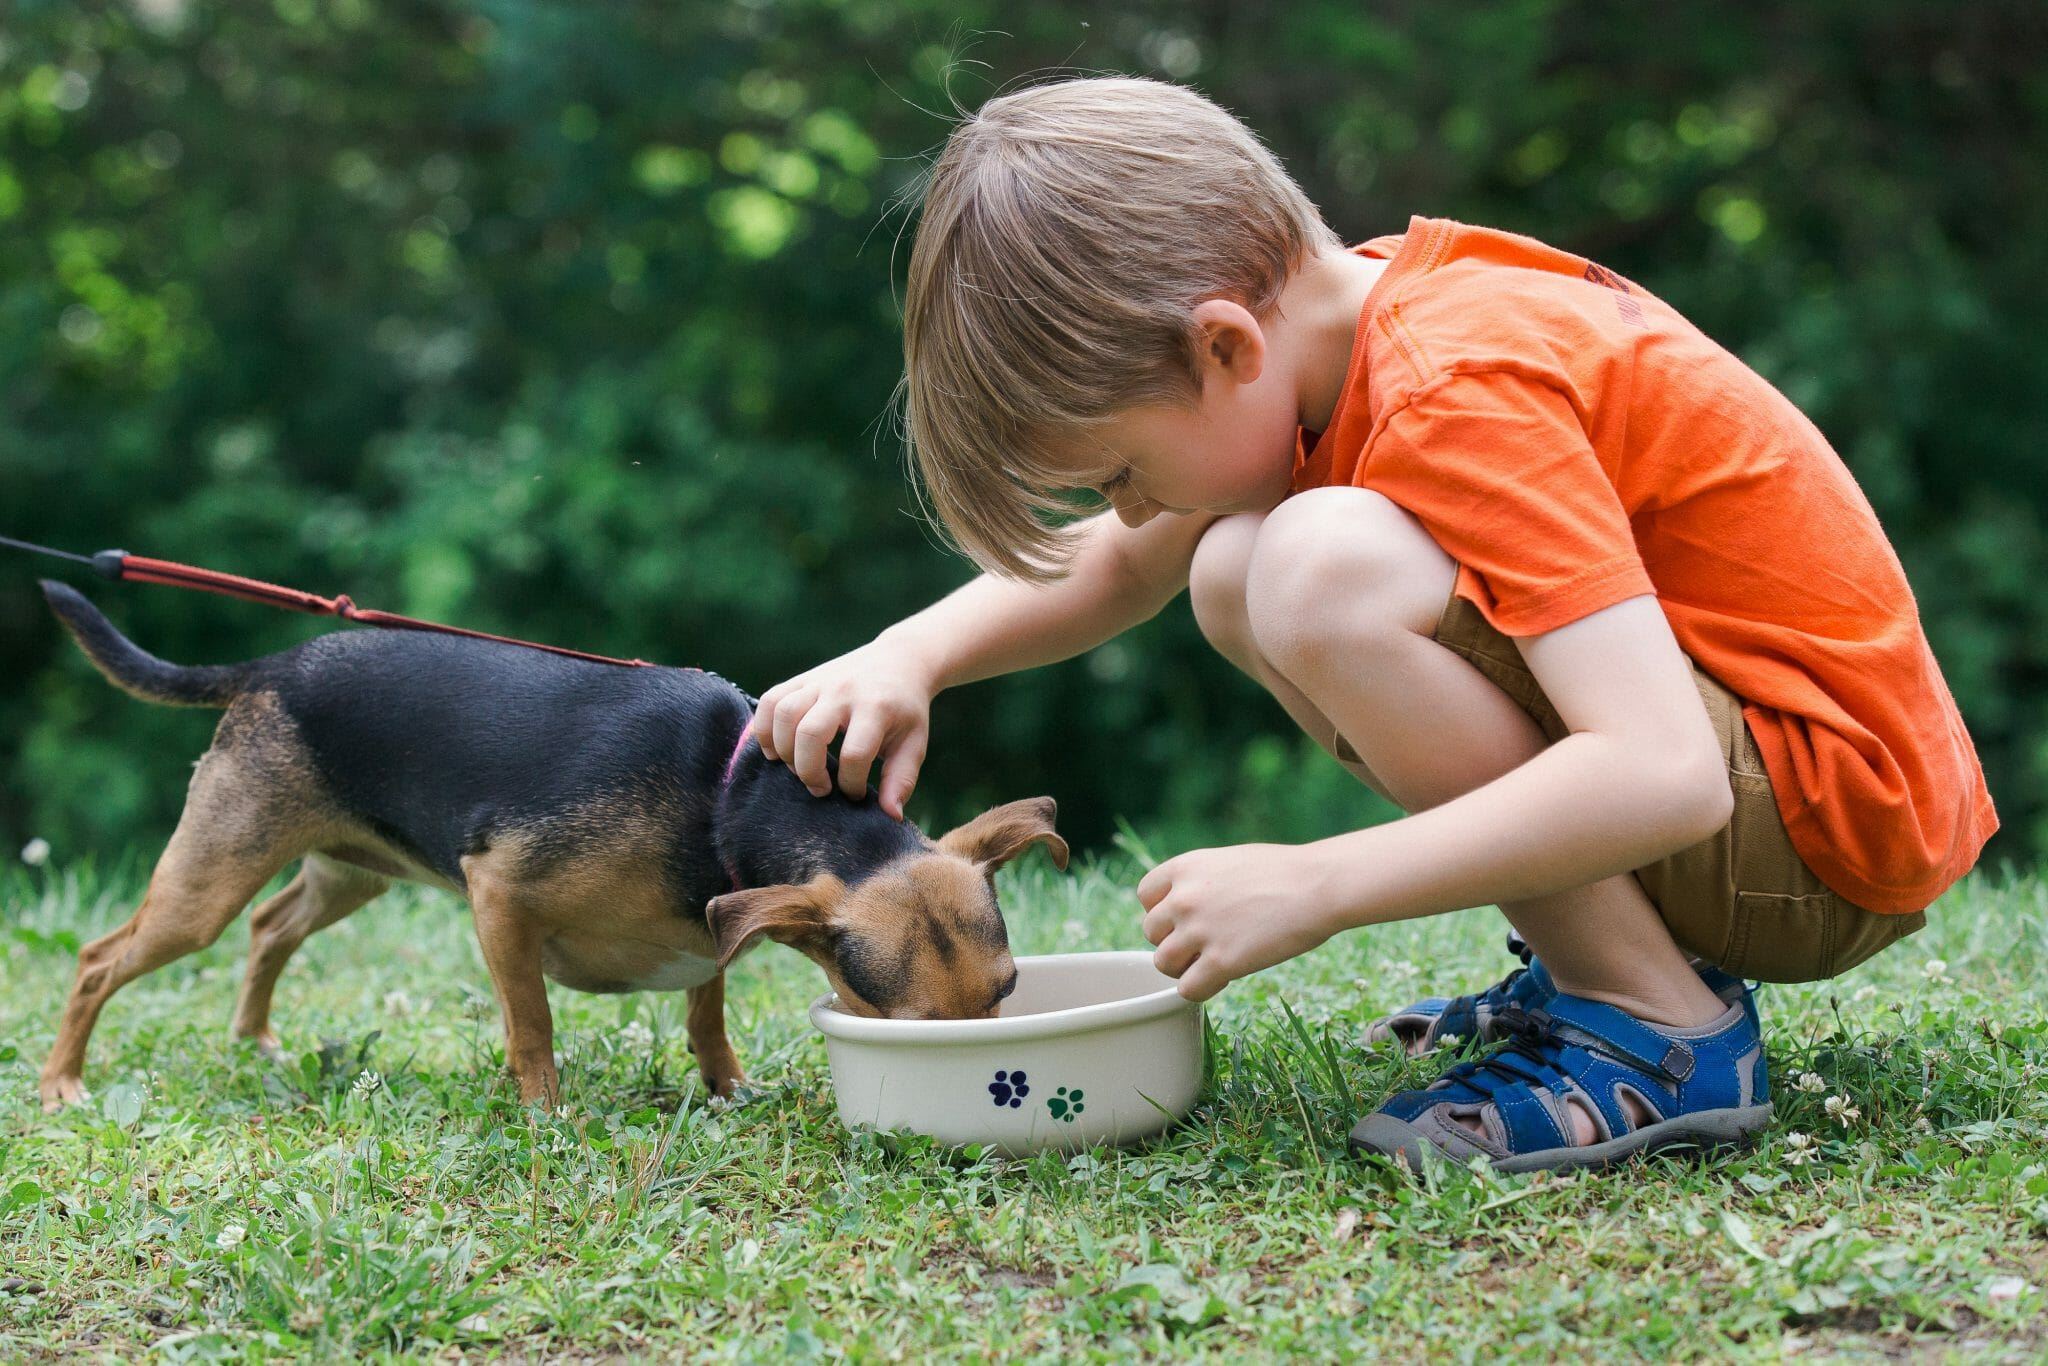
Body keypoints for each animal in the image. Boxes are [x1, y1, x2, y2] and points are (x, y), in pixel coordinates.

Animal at [36, 581, 1073, 1114]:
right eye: (913, 1027)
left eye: (1008, 993)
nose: (1001, 1079)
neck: (725, 800)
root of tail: (269, 666)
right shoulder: (498, 895)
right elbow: (531, 1022)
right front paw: (543, 1114)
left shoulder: (711, 928)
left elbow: (706, 1010)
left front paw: (725, 1084)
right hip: (206, 881)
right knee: (99, 959)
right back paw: (61, 1084)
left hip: (348, 874)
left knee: (269, 928)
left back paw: (252, 1039)